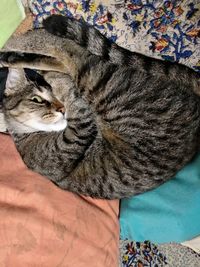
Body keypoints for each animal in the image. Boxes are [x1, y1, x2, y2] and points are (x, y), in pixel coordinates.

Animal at [1, 14, 200, 199]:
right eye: (37, 100)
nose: (61, 108)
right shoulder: (77, 126)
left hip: (97, 84)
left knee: (70, 53)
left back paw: (23, 45)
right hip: (101, 84)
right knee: (72, 55)